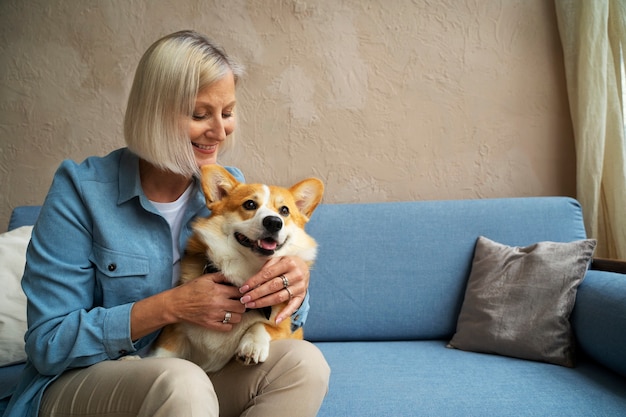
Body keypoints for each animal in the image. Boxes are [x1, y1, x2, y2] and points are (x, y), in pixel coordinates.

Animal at [147, 162, 322, 370]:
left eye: (284, 211)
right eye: (250, 204)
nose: (274, 222)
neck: (247, 270)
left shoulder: (284, 325)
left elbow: (263, 325)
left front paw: (252, 346)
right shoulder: (175, 329)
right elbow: (162, 354)